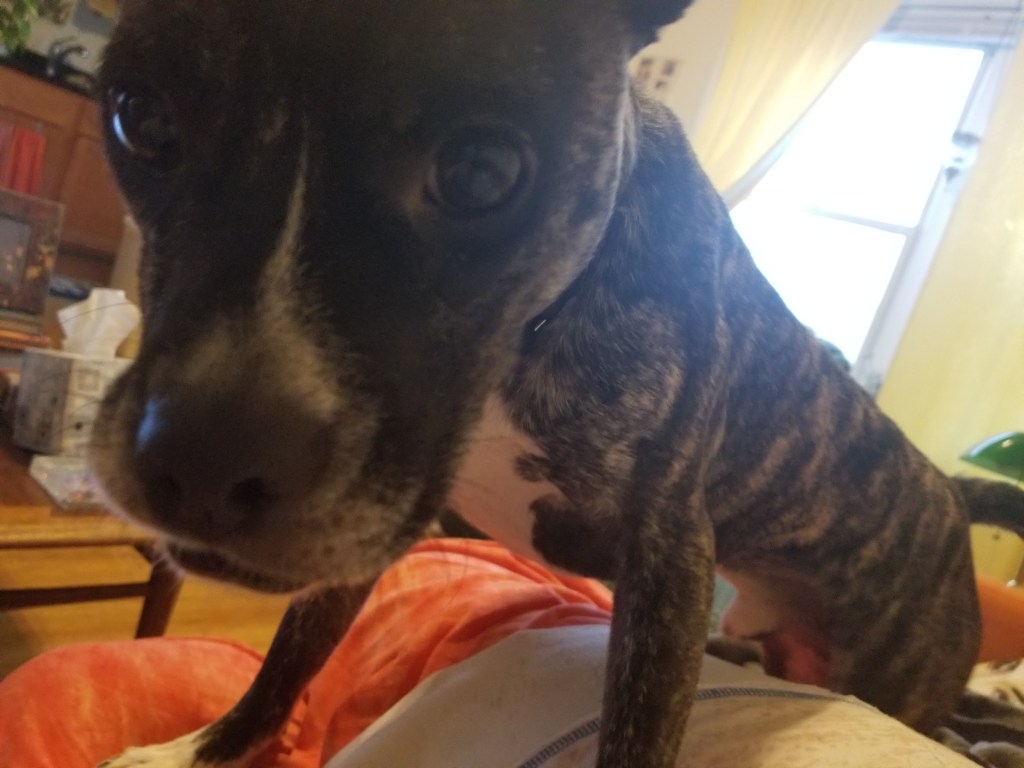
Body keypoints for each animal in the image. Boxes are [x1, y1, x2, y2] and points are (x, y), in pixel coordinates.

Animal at [88, 1, 1022, 766]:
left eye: (483, 171)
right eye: (142, 119)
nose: (203, 463)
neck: (529, 332)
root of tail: (948, 495)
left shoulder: (667, 559)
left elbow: (638, 739)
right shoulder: (379, 519)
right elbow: (290, 658)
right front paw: (200, 751)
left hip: (894, 675)